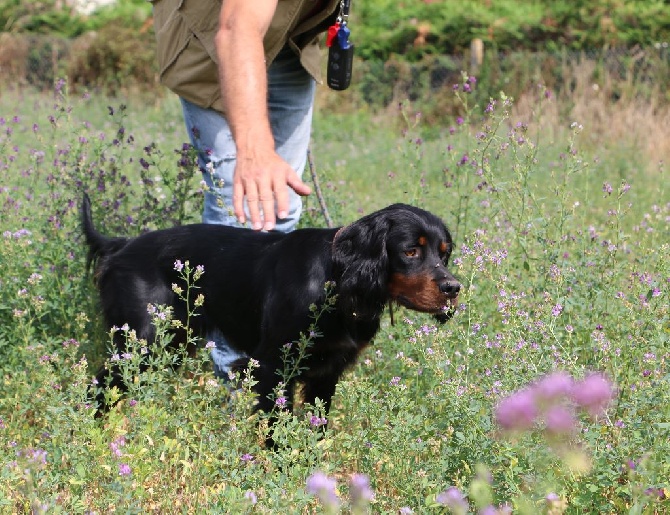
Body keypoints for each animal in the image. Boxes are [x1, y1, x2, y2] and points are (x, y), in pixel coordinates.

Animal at [82, 197, 462, 420]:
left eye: (443, 253)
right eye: (411, 251)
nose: (453, 288)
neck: (336, 281)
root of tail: (121, 245)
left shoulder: (327, 370)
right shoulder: (273, 365)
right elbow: (276, 421)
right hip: (141, 340)